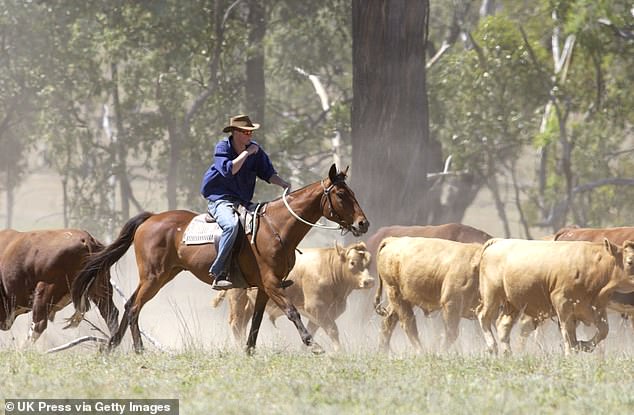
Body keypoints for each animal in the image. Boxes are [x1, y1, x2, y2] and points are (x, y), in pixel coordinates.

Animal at [212, 240, 370, 352]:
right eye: (352, 262)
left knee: (244, 323)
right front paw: (339, 351)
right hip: (237, 297)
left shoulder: (328, 311)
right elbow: (332, 330)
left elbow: (314, 328)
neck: (329, 268)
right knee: (236, 323)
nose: (369, 281)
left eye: (368, 263)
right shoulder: (316, 307)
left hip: (249, 302)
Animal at [476, 239, 632, 356]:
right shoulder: (562, 303)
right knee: (483, 316)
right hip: (492, 294)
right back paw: (492, 347)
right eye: (630, 261)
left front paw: (583, 345)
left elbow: (603, 330)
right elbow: (567, 332)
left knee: (503, 325)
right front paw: (570, 353)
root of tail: (498, 241)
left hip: (513, 303)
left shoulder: (596, 307)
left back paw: (508, 354)